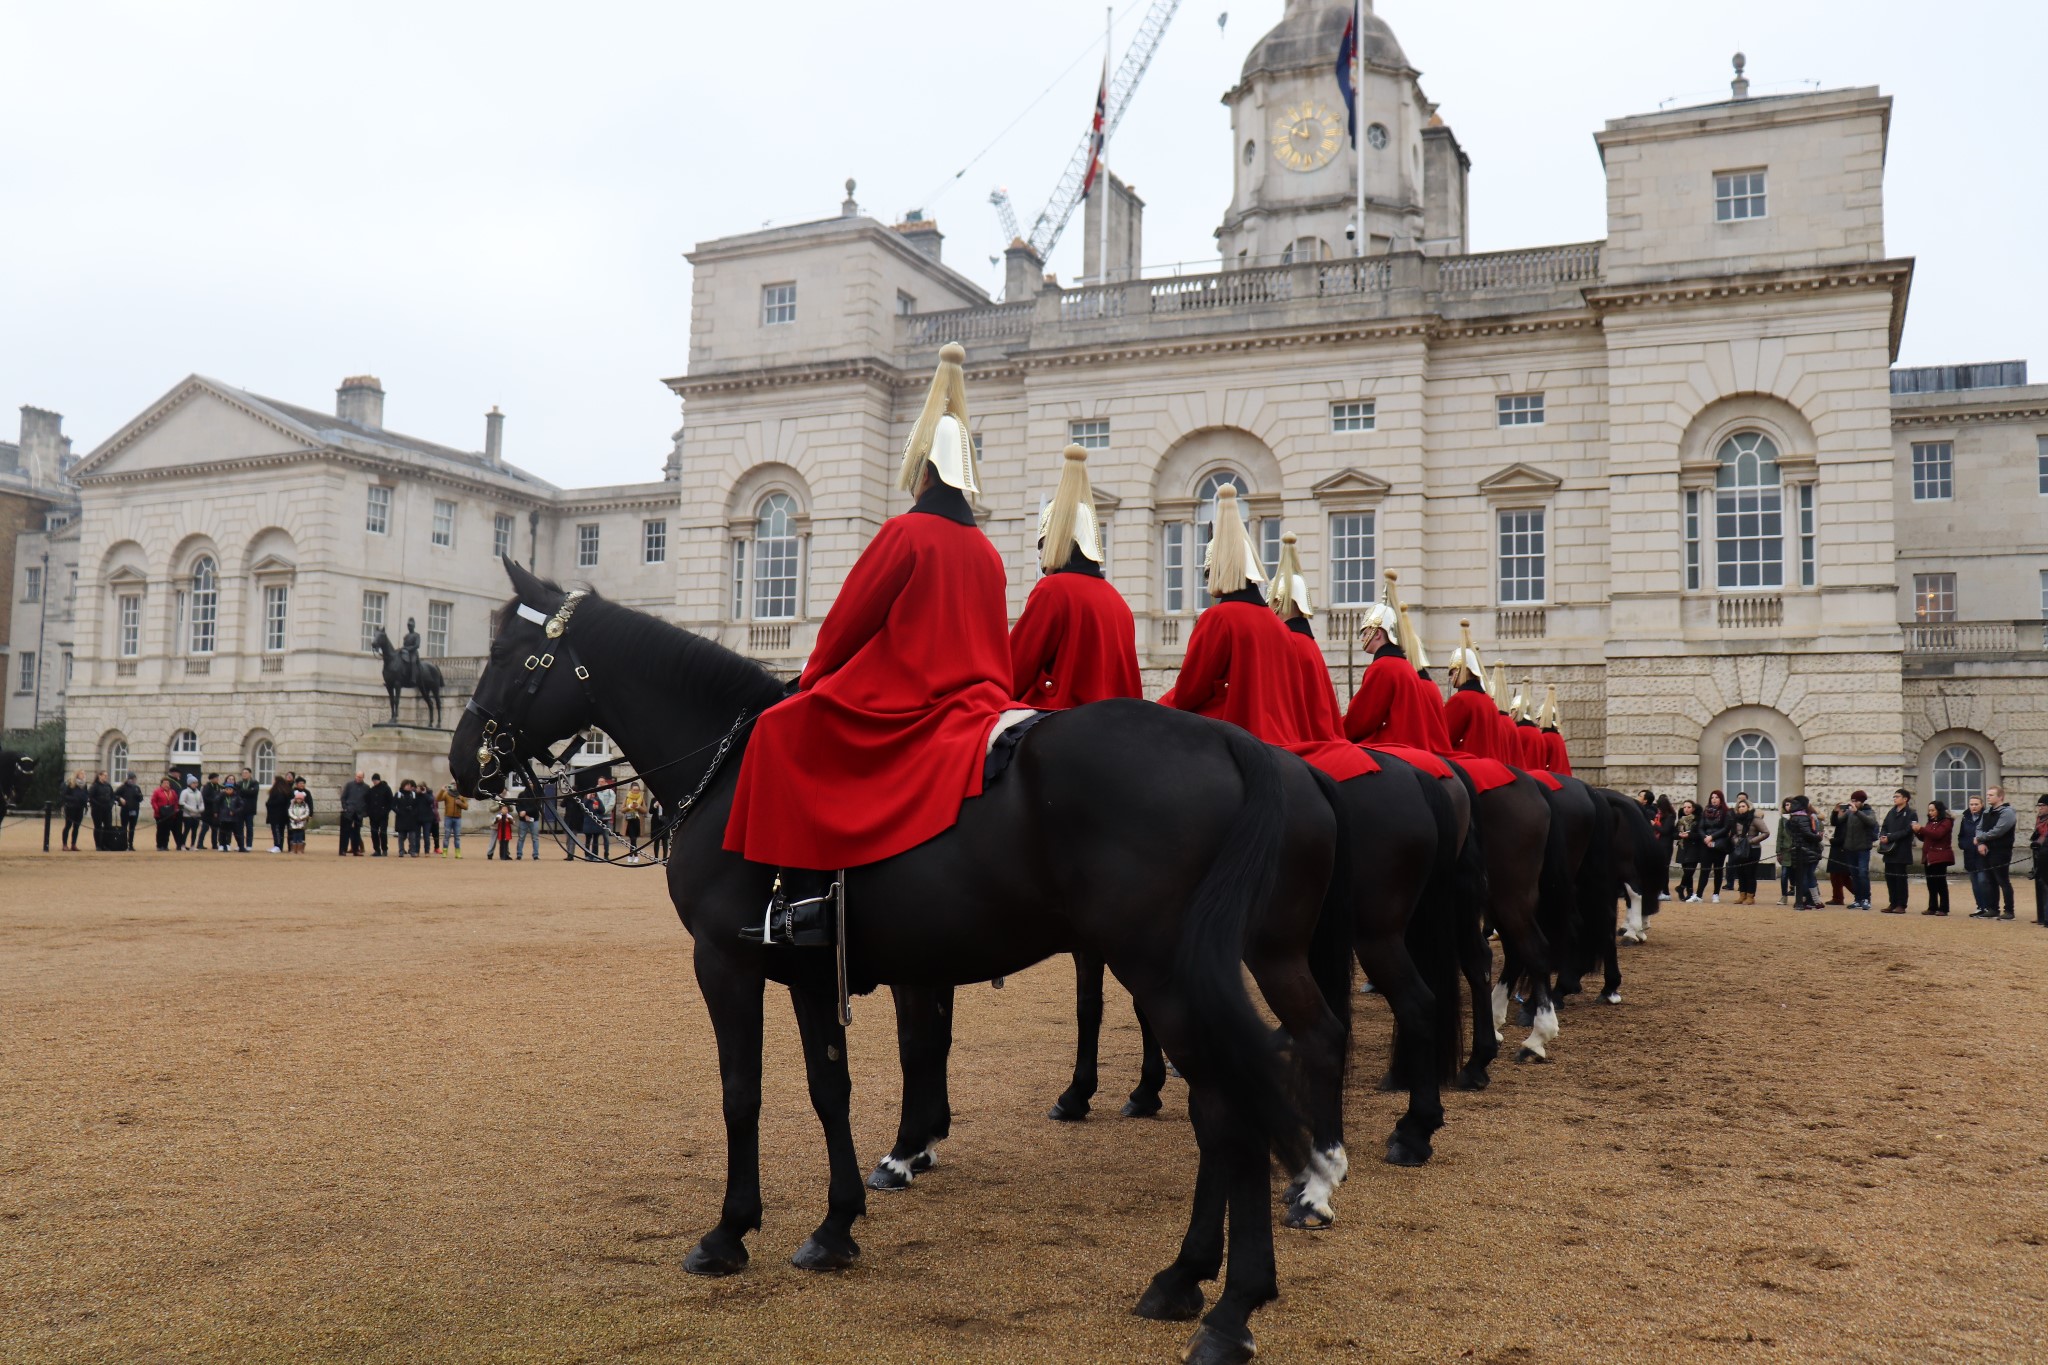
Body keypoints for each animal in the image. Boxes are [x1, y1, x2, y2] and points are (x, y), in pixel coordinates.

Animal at [456, 560, 1368, 1358]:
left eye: (508, 653)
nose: (467, 759)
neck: (727, 768)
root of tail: (1236, 744)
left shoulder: (725, 962)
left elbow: (743, 1092)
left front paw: (729, 1230)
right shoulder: (810, 967)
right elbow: (831, 1088)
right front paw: (836, 1222)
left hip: (1166, 971)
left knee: (1229, 1107)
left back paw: (1229, 1302)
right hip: (1247, 958)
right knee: (1269, 1071)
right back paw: (1201, 1268)